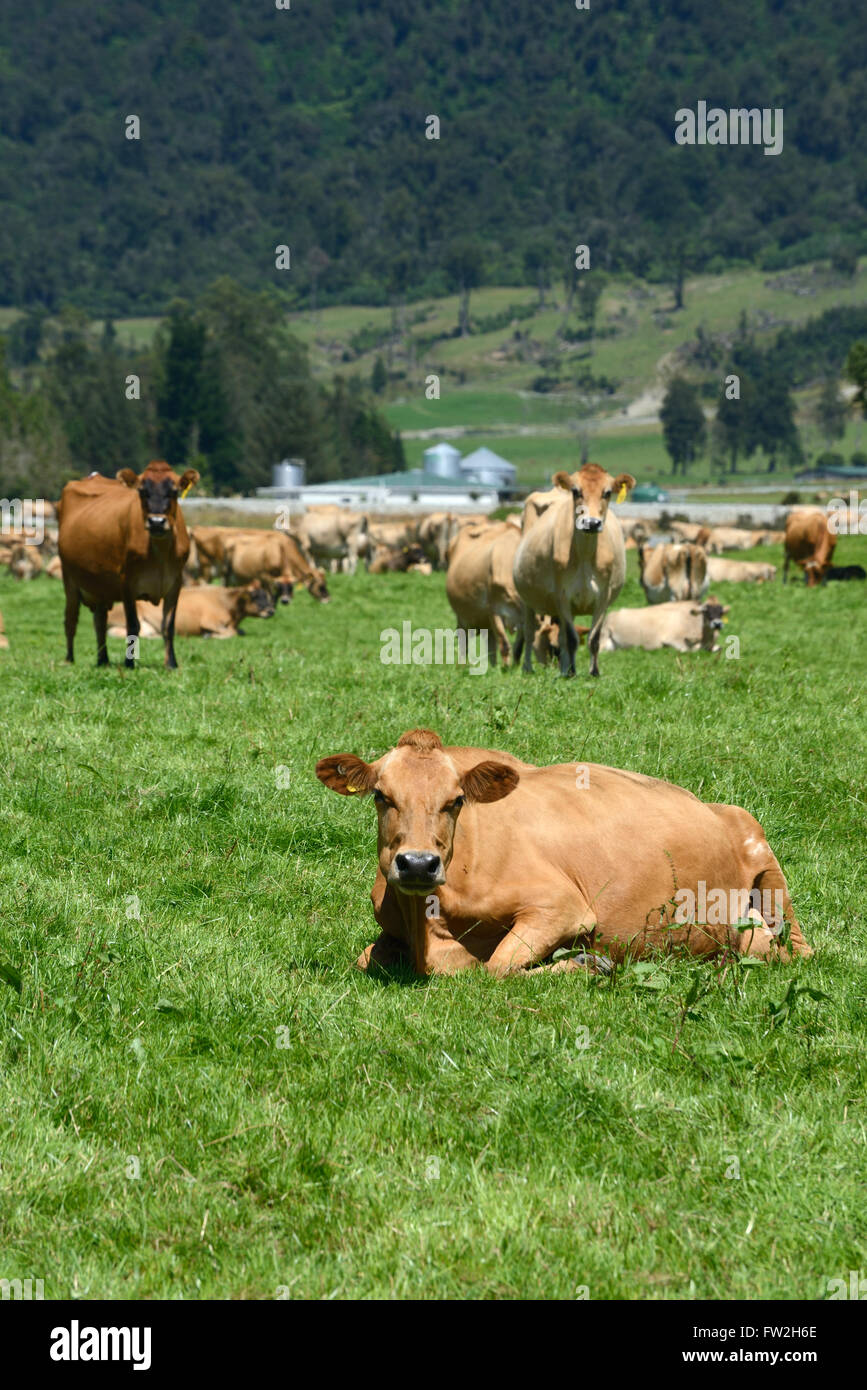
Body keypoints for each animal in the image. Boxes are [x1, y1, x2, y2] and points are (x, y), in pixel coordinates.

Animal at [58, 461, 198, 667]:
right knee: (70, 620)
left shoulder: (175, 583)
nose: (157, 522)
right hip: (69, 580)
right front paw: (129, 663)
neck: (160, 552)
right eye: (142, 491)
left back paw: (103, 660)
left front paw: (171, 664)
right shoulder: (127, 583)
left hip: (100, 586)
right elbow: (132, 625)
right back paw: (69, 659)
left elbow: (168, 625)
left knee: (99, 622)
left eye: (174, 491)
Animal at [316, 728, 811, 978]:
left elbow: (496, 968)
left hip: (760, 855)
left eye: (456, 800)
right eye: (381, 795)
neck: (429, 930)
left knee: (792, 951)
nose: (418, 863)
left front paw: (584, 963)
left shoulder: (561, 907)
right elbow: (364, 958)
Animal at [447, 525, 522, 667]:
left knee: (489, 642)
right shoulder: (494, 610)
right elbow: (504, 643)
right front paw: (506, 668)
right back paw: (461, 666)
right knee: (464, 641)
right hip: (463, 617)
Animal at [511, 464, 633, 675]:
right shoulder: (562, 596)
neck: (585, 555)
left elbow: (593, 639)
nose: (591, 523)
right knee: (529, 631)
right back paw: (528, 667)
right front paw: (572, 672)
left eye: (607, 492)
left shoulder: (604, 597)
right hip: (527, 598)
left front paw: (593, 672)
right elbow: (571, 639)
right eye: (576, 491)